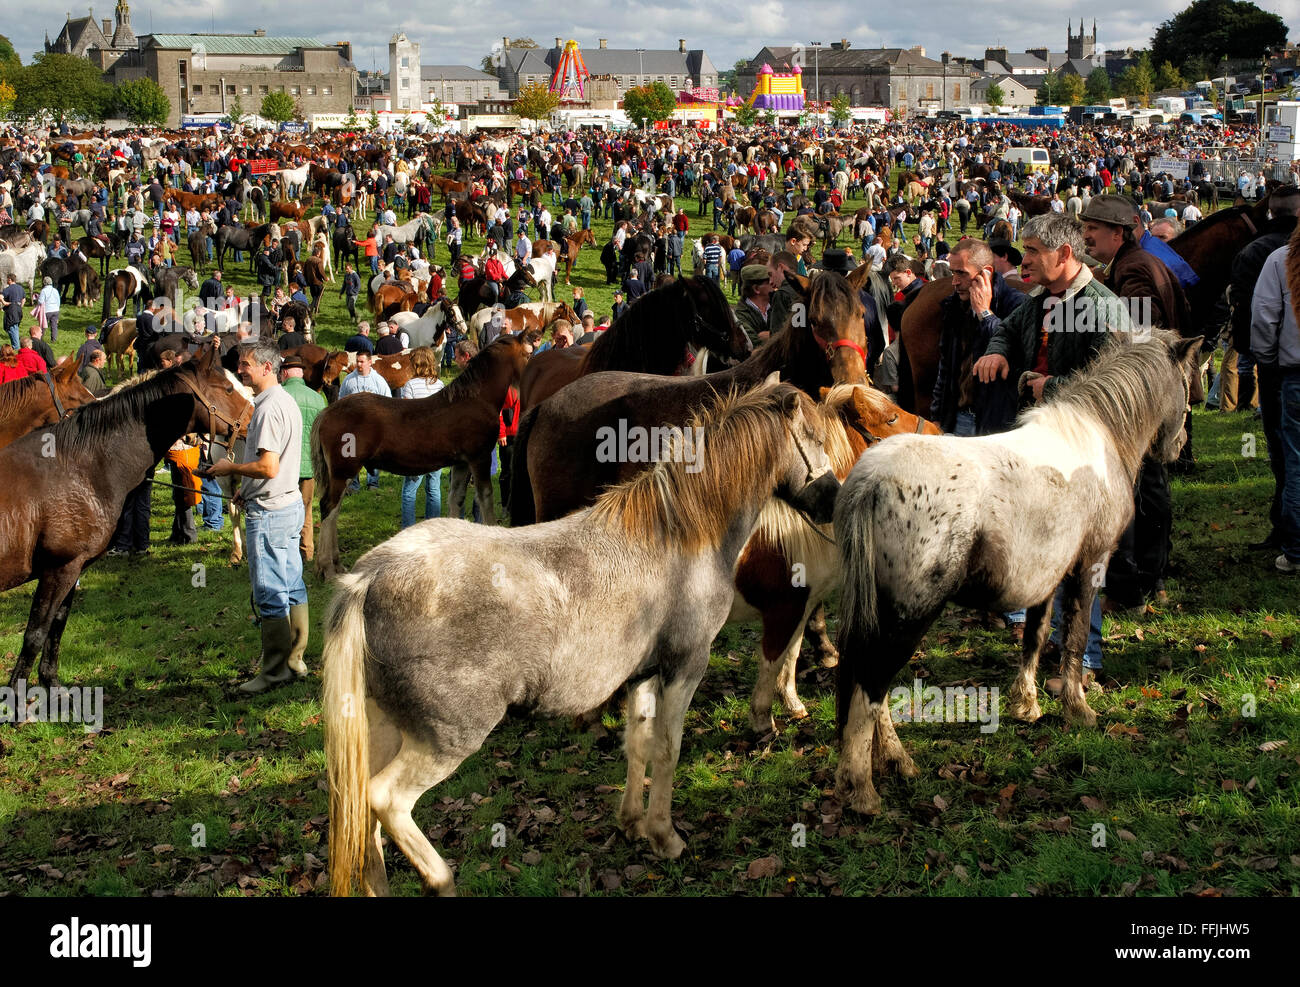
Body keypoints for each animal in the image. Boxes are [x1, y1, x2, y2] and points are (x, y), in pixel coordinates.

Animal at [0, 345, 252, 689]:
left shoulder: (71, 568)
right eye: (227, 388)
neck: (78, 466)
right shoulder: (59, 569)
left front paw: (51, 686)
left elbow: (56, 627)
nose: (255, 414)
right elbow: (36, 635)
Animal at [312, 334, 532, 579]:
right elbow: (485, 497)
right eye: (528, 354)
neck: (475, 399)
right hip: (343, 472)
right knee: (328, 508)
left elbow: (456, 498)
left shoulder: (461, 464)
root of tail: (327, 412)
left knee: (334, 509)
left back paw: (336, 564)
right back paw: (327, 567)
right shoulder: (479, 458)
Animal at [323, 379, 840, 895]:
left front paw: (632, 823)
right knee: (386, 801)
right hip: (446, 740)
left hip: (382, 728)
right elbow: (668, 749)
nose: (833, 497)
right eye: (815, 437)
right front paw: (664, 836)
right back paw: (441, 878)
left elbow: (639, 742)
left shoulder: (641, 675)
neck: (681, 537)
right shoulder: (684, 668)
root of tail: (370, 578)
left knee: (363, 812)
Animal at [831, 333, 1202, 815]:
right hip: (908, 614)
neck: (1097, 437)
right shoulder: (1089, 565)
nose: (1178, 448)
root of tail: (871, 481)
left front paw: (1027, 704)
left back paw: (897, 762)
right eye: (1187, 382)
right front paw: (1078, 709)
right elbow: (1075, 637)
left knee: (868, 684)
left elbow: (1036, 636)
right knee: (872, 683)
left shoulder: (1046, 575)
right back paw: (861, 787)